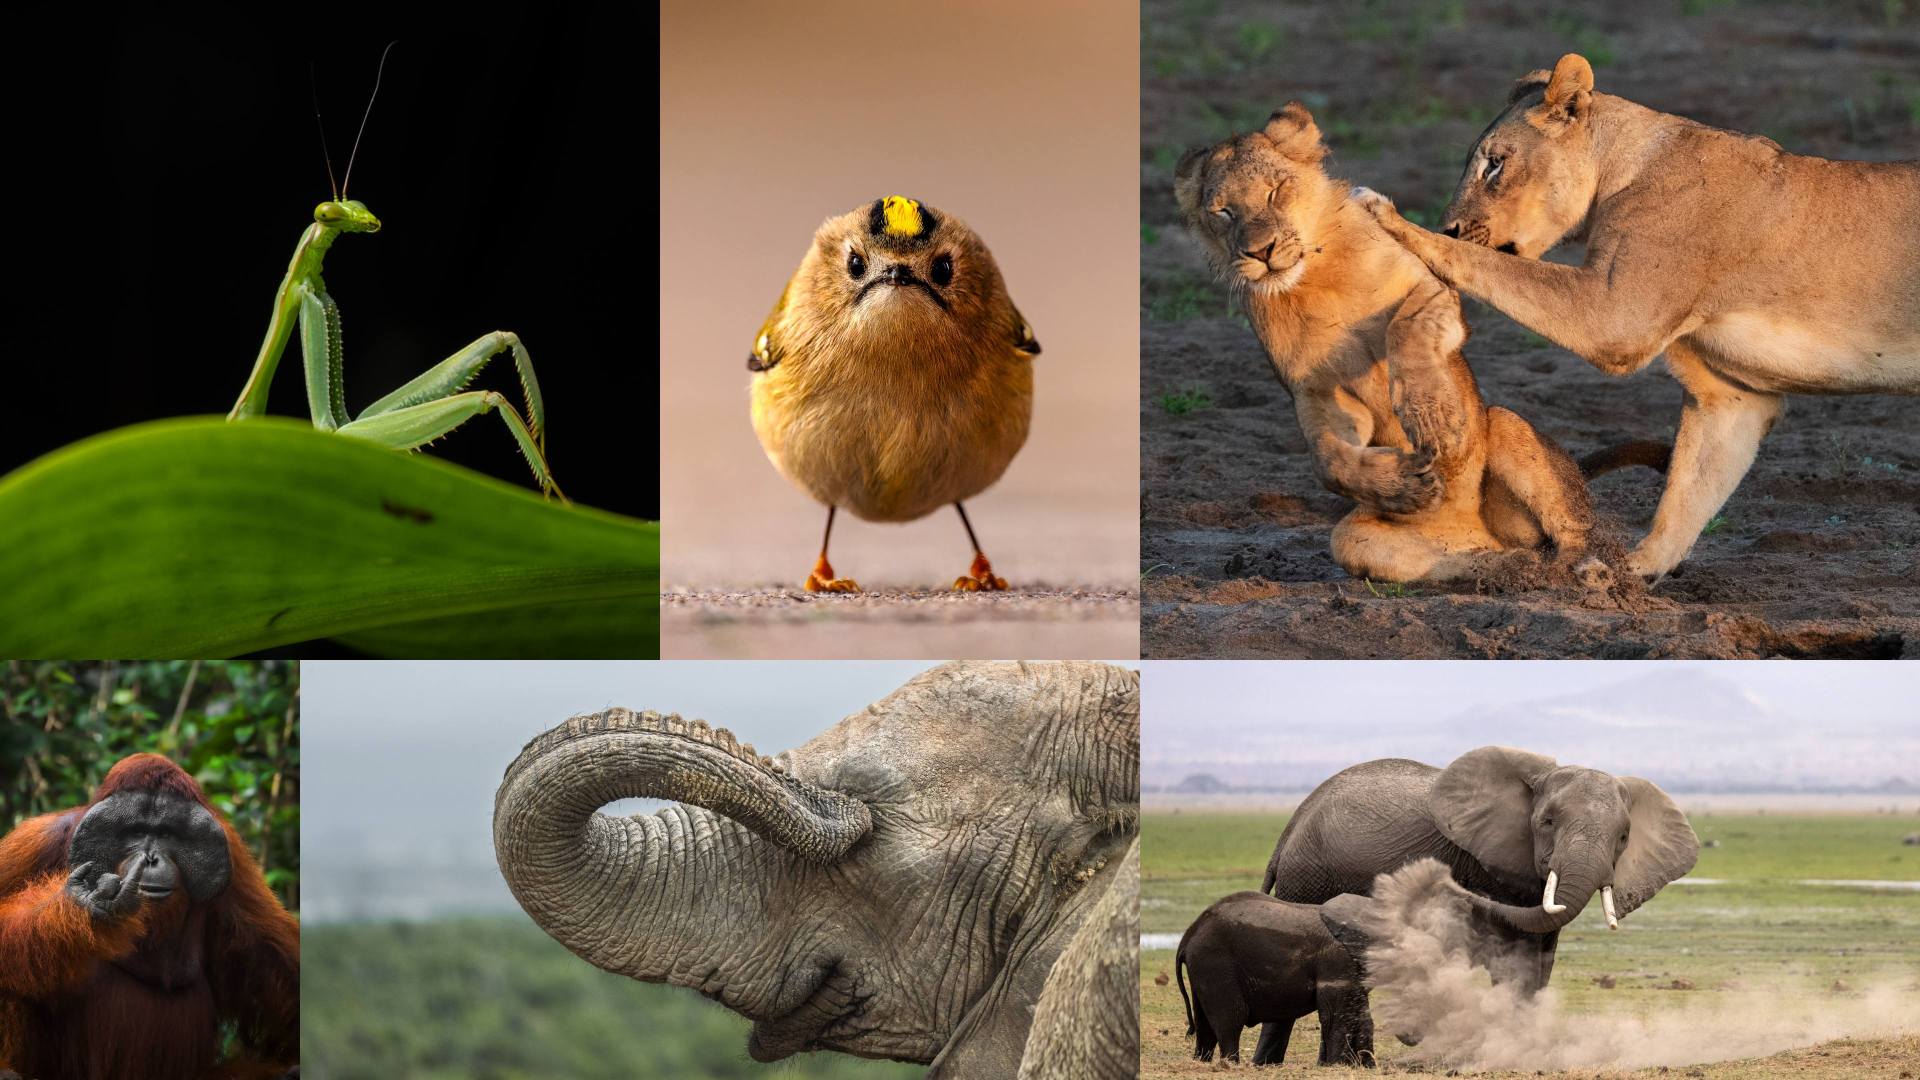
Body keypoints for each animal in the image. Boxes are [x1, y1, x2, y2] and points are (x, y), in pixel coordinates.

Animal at [1173, 103, 1659, 584]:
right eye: (1223, 211)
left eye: (1275, 192)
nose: (1261, 252)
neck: (1313, 280)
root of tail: (1469, 528)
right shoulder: (1314, 391)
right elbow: (1327, 458)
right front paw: (1406, 486)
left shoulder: (1432, 290)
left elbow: (1404, 329)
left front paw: (1435, 420)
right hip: (1356, 539)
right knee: (1462, 557)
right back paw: (1508, 568)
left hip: (1505, 426)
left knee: (1572, 532)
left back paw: (1584, 571)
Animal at [1176, 891, 1375, 1066]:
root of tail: (1188, 935)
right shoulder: (1337, 961)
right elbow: (1335, 1016)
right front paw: (1336, 1066)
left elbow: (1361, 1013)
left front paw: (1365, 1066)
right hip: (1214, 962)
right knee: (1230, 1020)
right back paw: (1230, 1064)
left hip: (1203, 967)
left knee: (1204, 1025)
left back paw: (1202, 1062)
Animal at [1263, 746, 1699, 997]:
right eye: (1547, 822)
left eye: (1623, 836)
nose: (1436, 880)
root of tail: (1291, 825)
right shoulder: (1489, 862)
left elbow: (1544, 949)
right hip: (1307, 876)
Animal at [1356, 54, 1920, 582]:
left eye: (1494, 164)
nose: (1449, 225)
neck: (1624, 165)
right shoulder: (1731, 396)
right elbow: (1687, 492)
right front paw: (1627, 575)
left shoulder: (1613, 316)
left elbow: (1492, 264)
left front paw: (1385, 214)